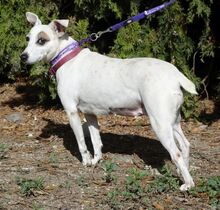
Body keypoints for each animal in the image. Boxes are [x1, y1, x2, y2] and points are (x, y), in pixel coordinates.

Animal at [20, 12, 197, 191]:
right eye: (28, 38)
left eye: (41, 40)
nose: (23, 57)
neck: (67, 58)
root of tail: (175, 74)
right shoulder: (90, 114)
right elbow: (96, 141)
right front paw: (95, 161)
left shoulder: (71, 112)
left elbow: (82, 143)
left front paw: (85, 162)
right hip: (172, 121)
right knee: (185, 145)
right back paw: (183, 171)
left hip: (159, 123)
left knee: (176, 153)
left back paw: (188, 184)